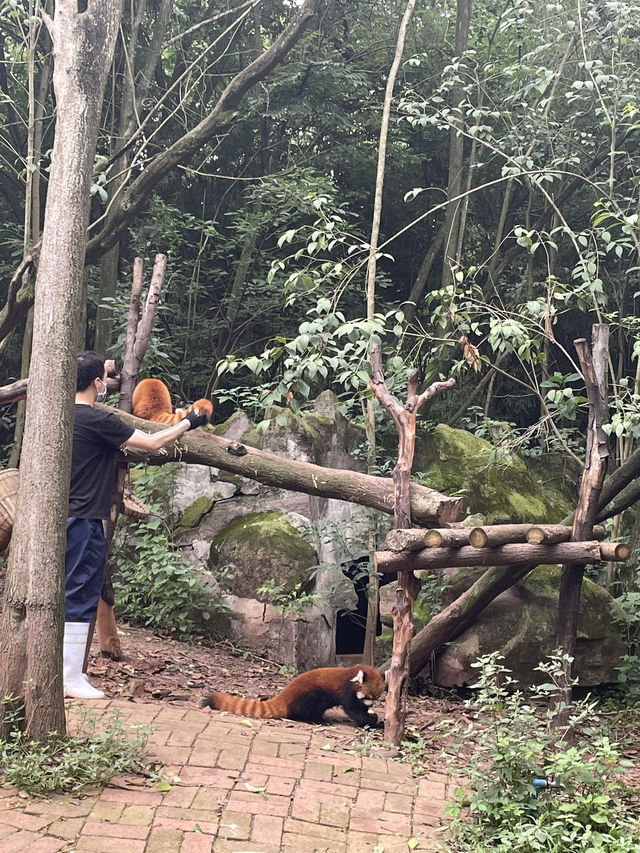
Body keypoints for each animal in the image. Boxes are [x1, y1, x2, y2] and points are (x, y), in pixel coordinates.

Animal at [202, 664, 388, 724]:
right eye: (367, 697)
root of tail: (284, 694)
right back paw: (317, 720)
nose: (371, 705)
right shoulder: (346, 692)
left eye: (377, 698)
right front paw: (368, 720)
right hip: (309, 695)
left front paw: (374, 717)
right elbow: (352, 710)